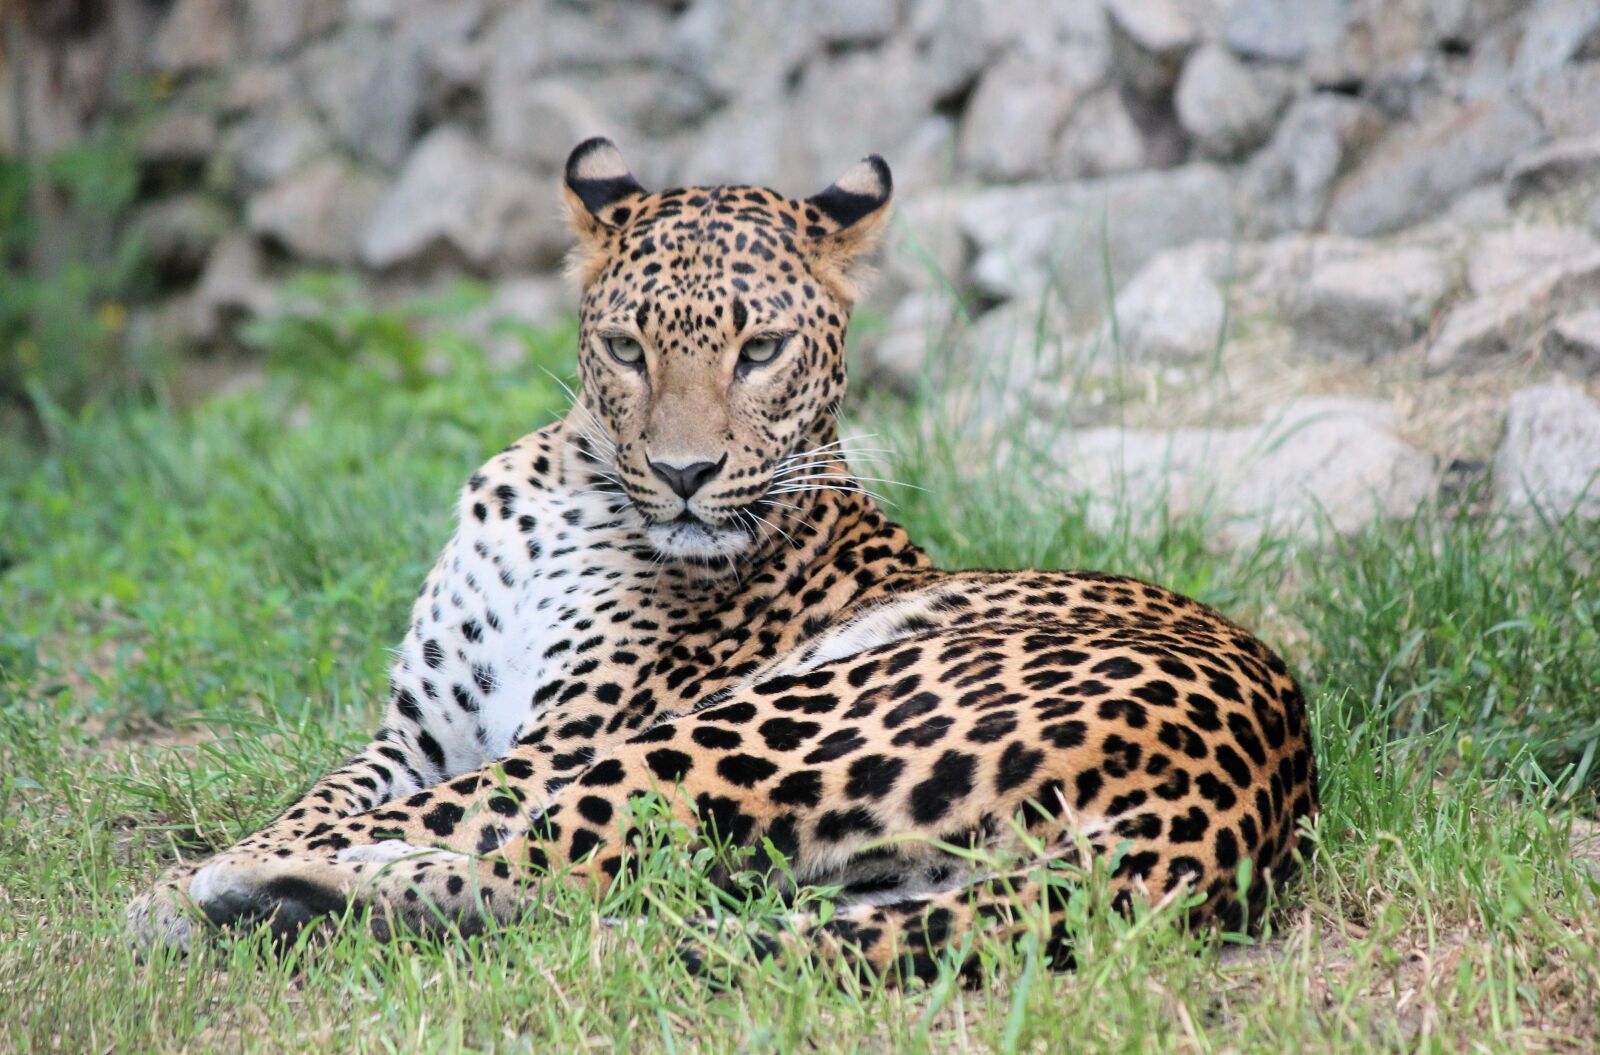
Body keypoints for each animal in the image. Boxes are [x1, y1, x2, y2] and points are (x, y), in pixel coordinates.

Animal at [127, 138, 1319, 982]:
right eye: (626, 349)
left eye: (762, 350)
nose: (686, 471)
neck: (568, 490)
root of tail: (1247, 798)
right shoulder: (416, 731)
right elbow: (324, 794)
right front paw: (193, 875)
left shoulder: (560, 738)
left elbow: (422, 808)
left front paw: (187, 878)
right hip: (872, 872)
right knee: (610, 886)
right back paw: (282, 897)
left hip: (755, 726)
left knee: (563, 871)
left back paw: (267, 890)